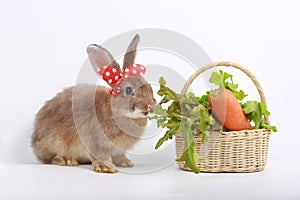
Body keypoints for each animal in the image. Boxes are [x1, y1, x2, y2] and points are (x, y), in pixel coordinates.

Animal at [31, 33, 156, 173]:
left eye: (149, 86)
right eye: (129, 90)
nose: (151, 106)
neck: (115, 111)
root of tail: (34, 140)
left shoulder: (118, 151)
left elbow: (119, 156)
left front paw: (126, 163)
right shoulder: (96, 142)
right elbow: (100, 156)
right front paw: (106, 167)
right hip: (55, 142)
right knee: (49, 157)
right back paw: (66, 160)